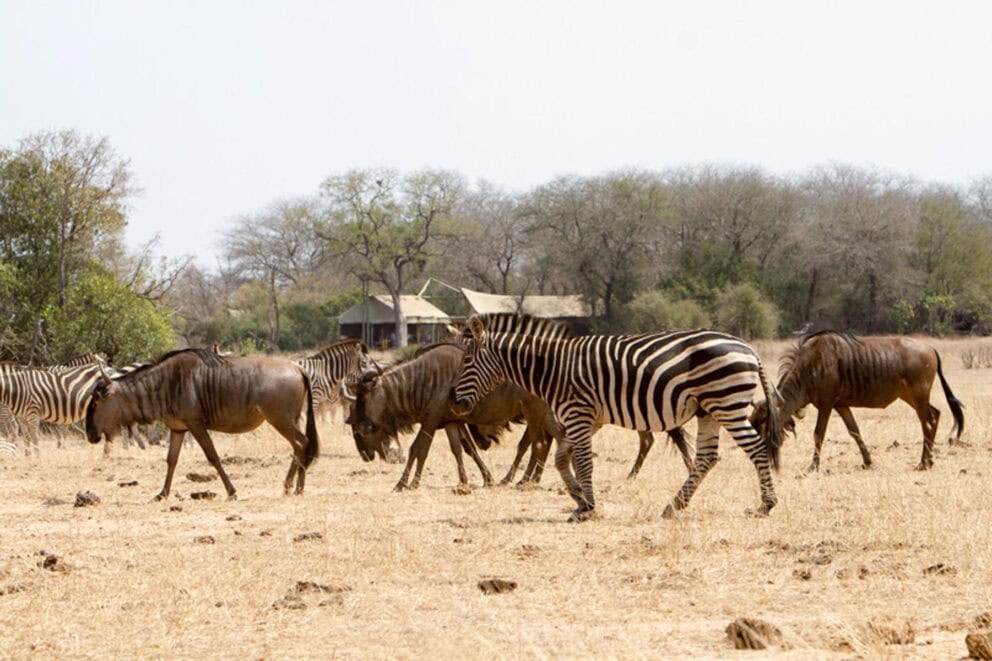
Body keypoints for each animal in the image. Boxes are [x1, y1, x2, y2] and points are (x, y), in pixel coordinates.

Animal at [451, 314, 783, 521]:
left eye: (466, 360)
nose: (453, 402)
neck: (552, 368)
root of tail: (748, 348)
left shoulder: (579, 415)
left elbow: (583, 462)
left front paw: (587, 508)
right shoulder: (586, 420)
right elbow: (561, 459)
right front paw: (579, 498)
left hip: (727, 403)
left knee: (755, 448)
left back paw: (766, 504)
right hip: (708, 409)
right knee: (707, 457)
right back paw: (674, 506)